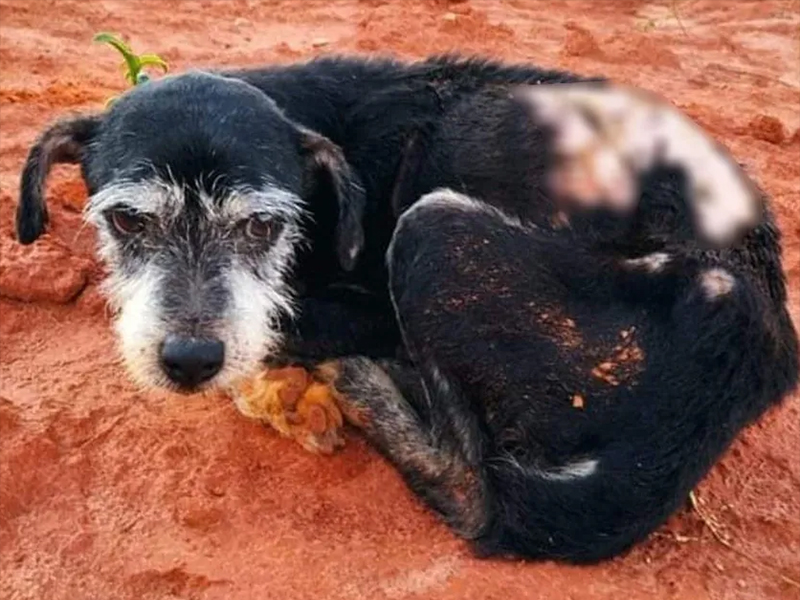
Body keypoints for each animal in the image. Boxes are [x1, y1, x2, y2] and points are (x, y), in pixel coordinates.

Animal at [15, 55, 796, 564]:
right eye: (127, 221)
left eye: (262, 226)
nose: (189, 361)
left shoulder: (364, 307)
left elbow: (275, 330)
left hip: (433, 228)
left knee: (469, 485)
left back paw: (362, 383)